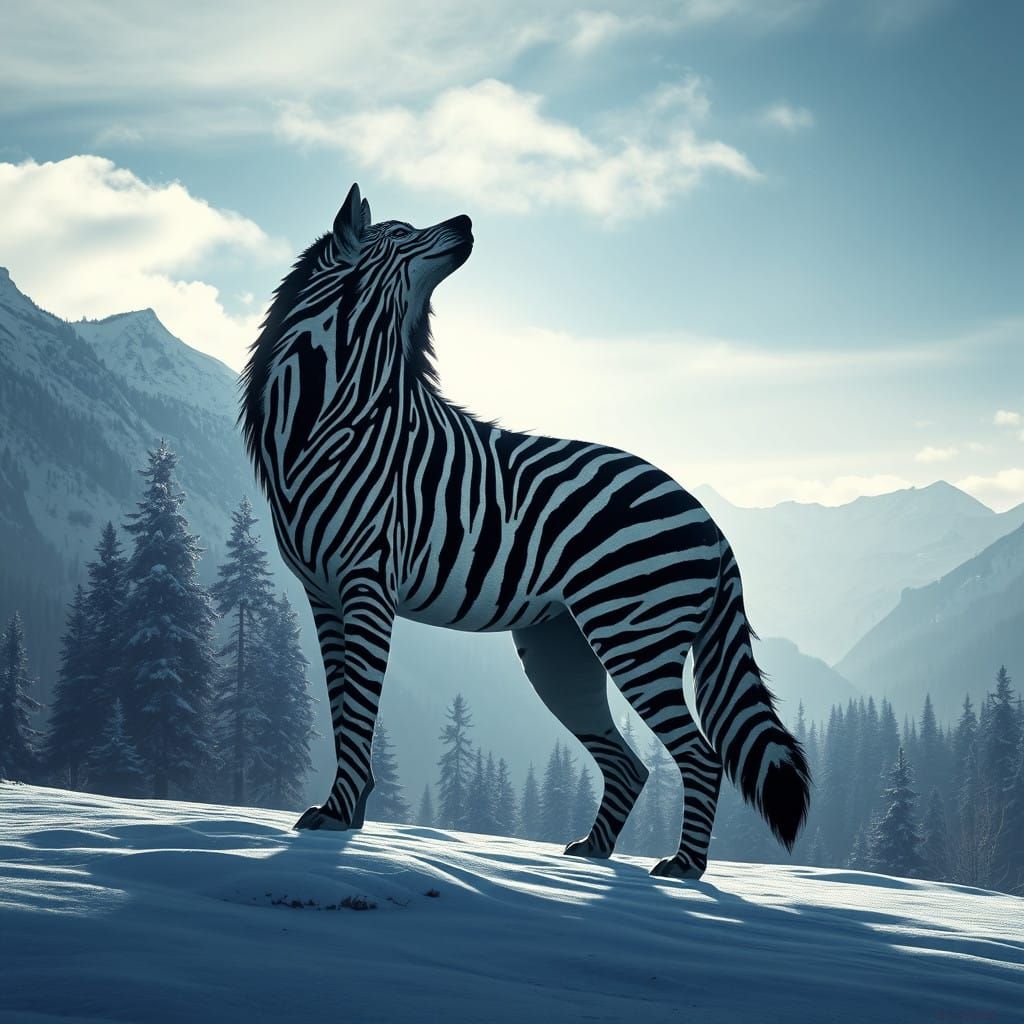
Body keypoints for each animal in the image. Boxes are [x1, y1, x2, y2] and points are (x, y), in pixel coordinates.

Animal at [239, 183, 810, 879]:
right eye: (400, 232)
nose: (467, 220)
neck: (326, 417)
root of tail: (714, 526)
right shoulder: (323, 594)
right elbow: (341, 704)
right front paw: (342, 815)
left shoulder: (368, 584)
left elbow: (359, 709)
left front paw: (338, 818)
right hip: (562, 652)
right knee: (631, 763)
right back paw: (591, 853)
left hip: (635, 639)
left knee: (698, 756)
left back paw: (681, 869)